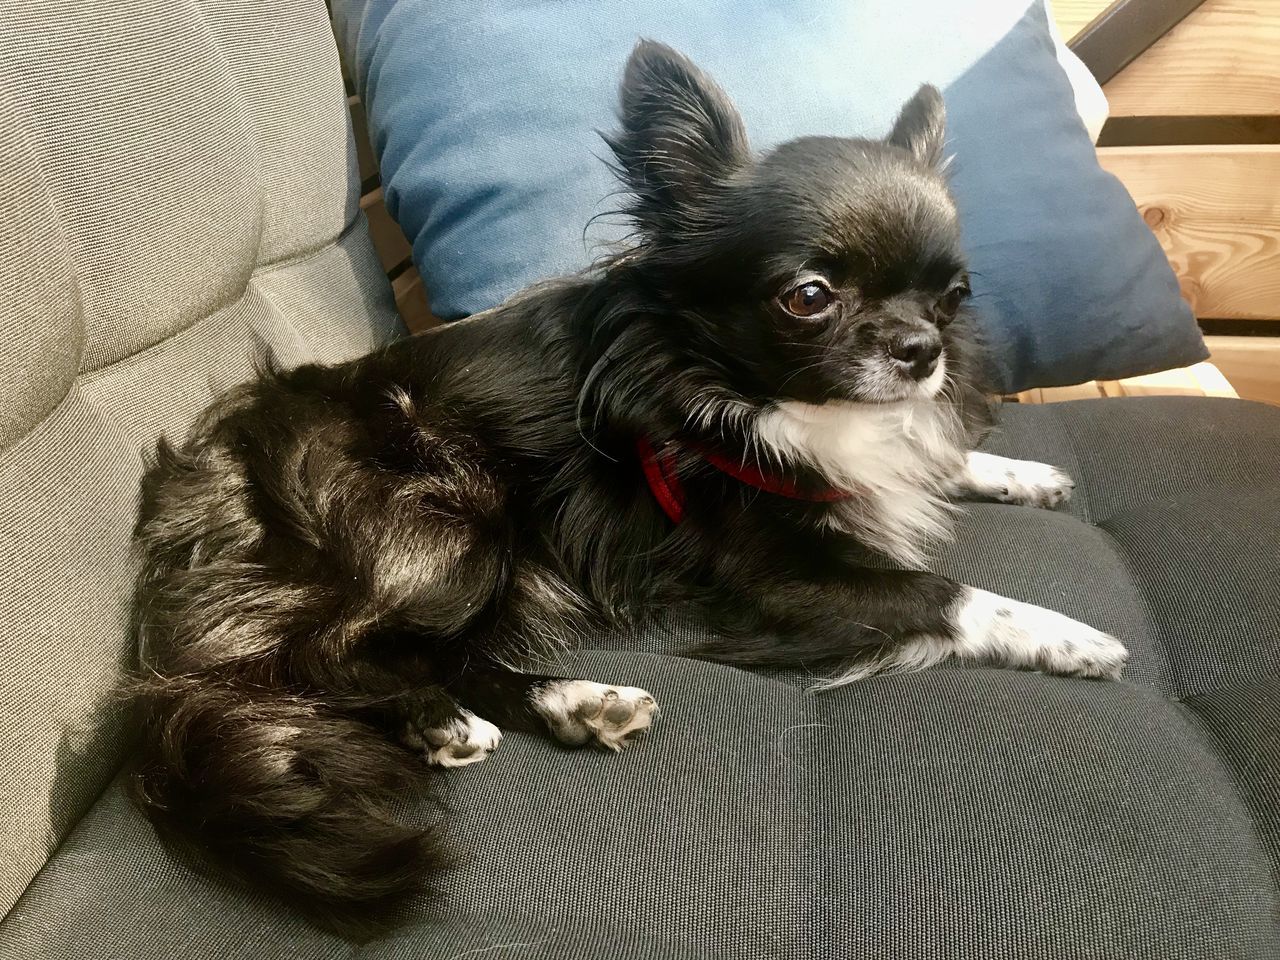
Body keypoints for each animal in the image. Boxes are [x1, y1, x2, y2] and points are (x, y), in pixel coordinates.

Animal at [129, 41, 1131, 936]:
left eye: (955, 295)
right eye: (808, 297)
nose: (922, 351)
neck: (770, 400)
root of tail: (214, 472)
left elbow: (933, 460)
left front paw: (1017, 473)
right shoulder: (778, 575)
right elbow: (947, 592)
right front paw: (1068, 636)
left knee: (433, 655)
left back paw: (573, 704)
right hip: (450, 525)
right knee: (326, 658)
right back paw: (454, 716)